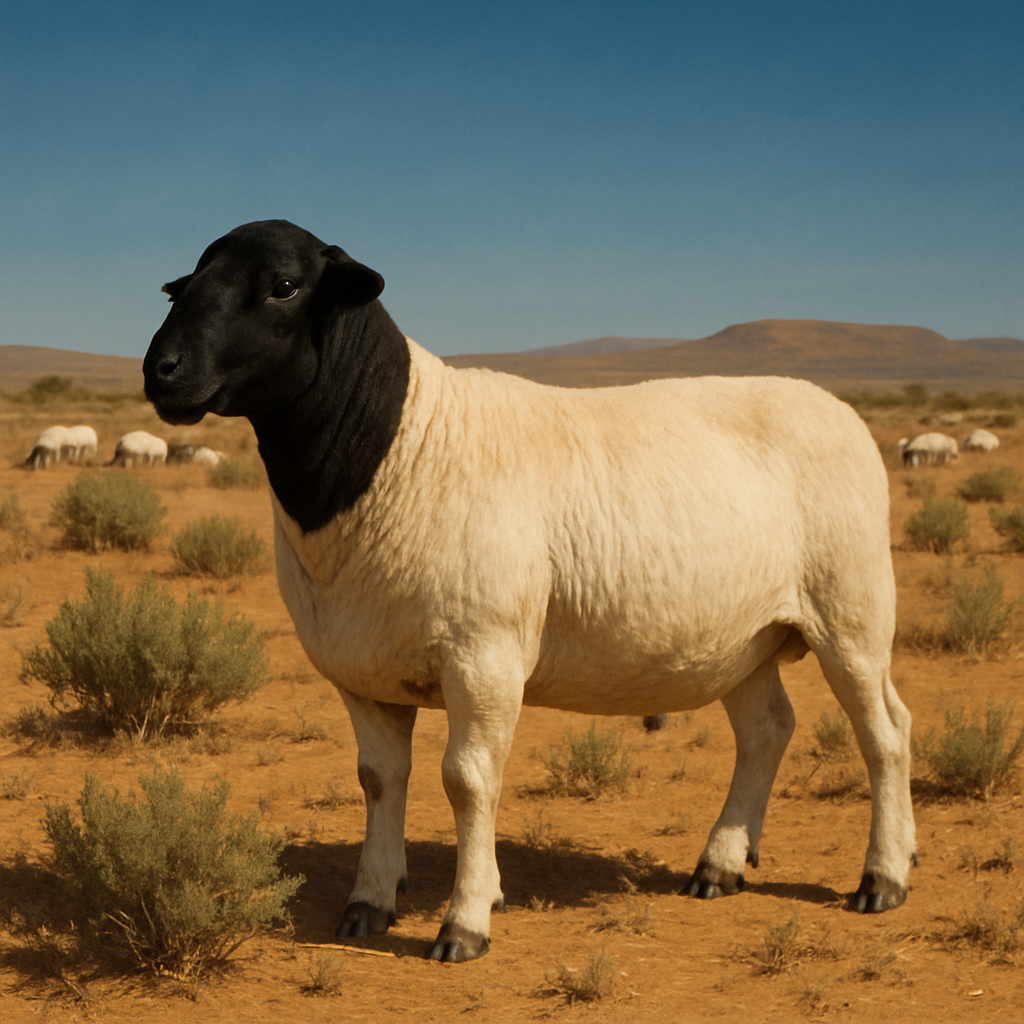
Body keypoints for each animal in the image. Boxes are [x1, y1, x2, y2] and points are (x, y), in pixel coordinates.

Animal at [143, 219, 916, 963]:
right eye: (183, 286)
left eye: (283, 285)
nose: (160, 369)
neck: (398, 442)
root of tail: (834, 405)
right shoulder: (363, 670)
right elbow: (379, 779)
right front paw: (368, 903)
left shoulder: (483, 656)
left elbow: (467, 781)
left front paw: (465, 922)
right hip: (741, 638)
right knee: (767, 730)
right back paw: (720, 866)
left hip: (851, 609)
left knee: (886, 733)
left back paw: (882, 877)